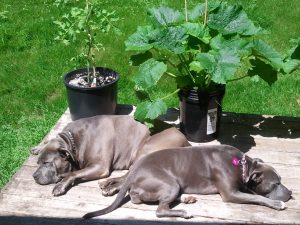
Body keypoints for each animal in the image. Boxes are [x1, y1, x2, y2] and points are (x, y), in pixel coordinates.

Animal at [31, 115, 190, 196]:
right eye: (38, 163)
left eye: (47, 163)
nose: (34, 176)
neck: (74, 140)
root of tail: (186, 141)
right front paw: (38, 147)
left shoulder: (100, 166)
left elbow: (73, 174)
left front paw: (60, 185)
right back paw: (108, 183)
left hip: (144, 151)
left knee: (131, 176)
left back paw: (111, 188)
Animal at [83, 145, 292, 219]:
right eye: (276, 184)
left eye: (281, 180)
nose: (290, 193)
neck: (242, 167)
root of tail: (135, 170)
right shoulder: (231, 194)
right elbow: (258, 198)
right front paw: (276, 203)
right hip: (169, 183)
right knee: (158, 209)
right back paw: (183, 212)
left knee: (139, 197)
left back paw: (186, 199)